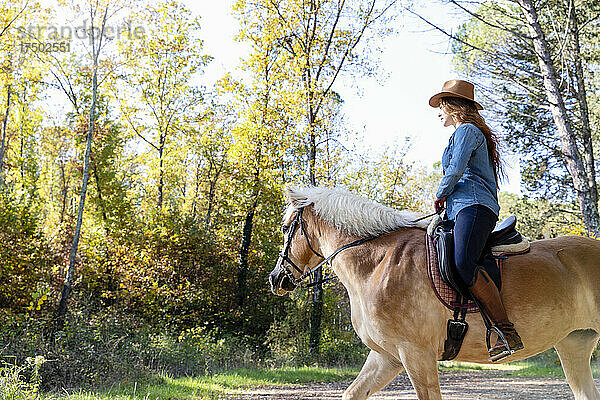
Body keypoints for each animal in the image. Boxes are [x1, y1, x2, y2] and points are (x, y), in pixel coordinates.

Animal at [268, 186, 600, 400]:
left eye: (285, 228)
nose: (276, 279)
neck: (378, 263)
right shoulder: (387, 357)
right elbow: (352, 393)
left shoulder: (416, 354)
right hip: (574, 344)